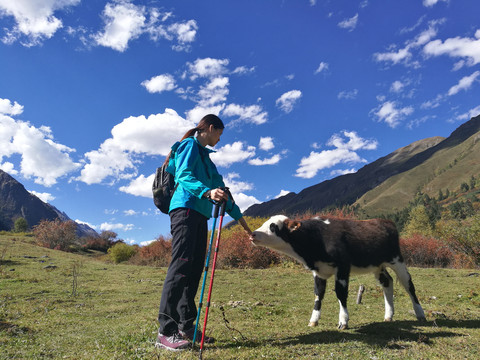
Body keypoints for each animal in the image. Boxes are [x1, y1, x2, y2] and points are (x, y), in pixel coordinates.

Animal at [249, 215, 426, 330]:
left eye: (273, 226)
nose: (252, 234)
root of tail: (385, 221)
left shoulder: (342, 267)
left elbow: (341, 294)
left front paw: (343, 321)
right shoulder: (318, 271)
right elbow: (318, 294)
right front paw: (313, 320)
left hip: (397, 260)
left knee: (409, 285)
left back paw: (420, 313)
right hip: (378, 265)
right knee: (387, 282)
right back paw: (388, 315)